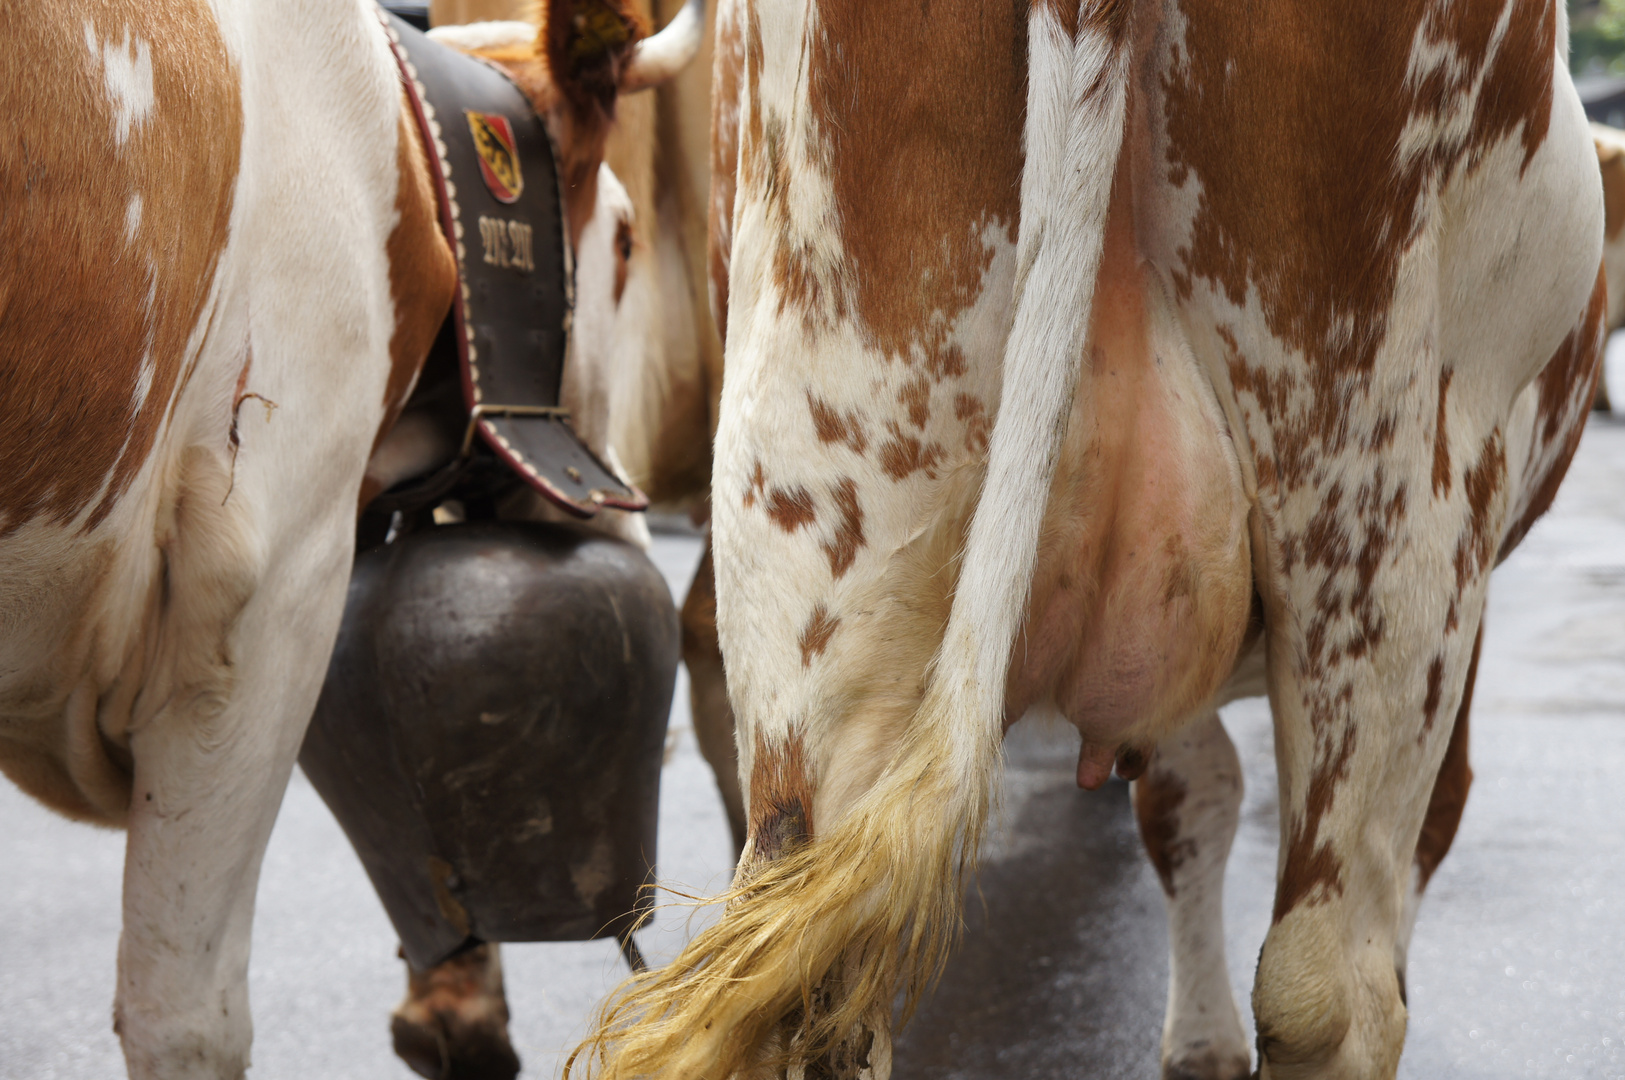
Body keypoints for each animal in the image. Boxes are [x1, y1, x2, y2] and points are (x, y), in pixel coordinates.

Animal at [565, 2, 1605, 1078]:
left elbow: (1186, 798)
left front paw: (1195, 1041)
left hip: (815, 499)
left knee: (806, 983)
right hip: (1391, 508)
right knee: (1327, 988)